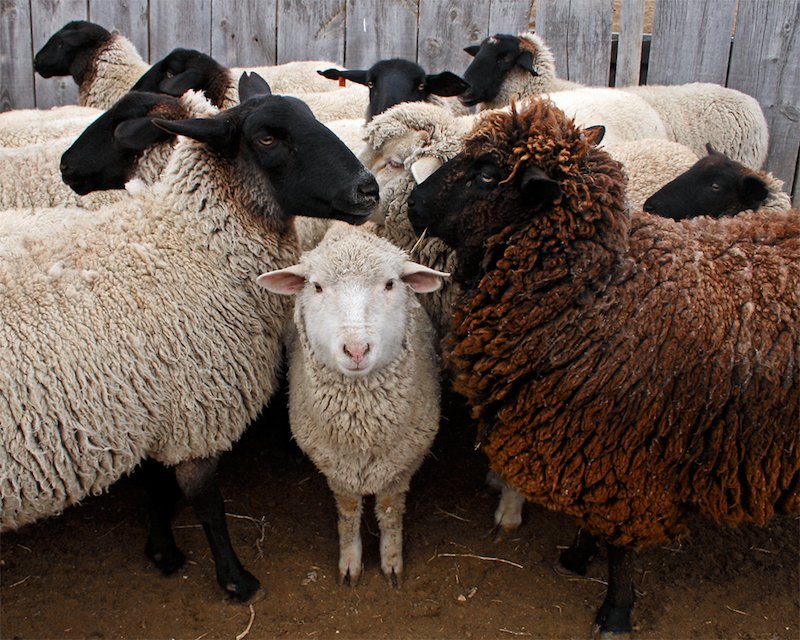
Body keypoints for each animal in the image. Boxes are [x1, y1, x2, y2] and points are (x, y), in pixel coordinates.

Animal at [0, 73, 379, 603]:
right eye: (267, 138)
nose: (368, 189)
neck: (191, 246)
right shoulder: (193, 409)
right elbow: (206, 504)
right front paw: (236, 579)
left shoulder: (153, 406)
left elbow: (158, 488)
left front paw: (162, 551)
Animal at [256, 221, 447, 586]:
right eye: (316, 286)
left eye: (390, 283)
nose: (356, 350)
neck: (362, 427)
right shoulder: (336, 467)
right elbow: (347, 512)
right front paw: (350, 561)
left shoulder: (402, 463)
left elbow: (389, 511)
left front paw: (391, 562)